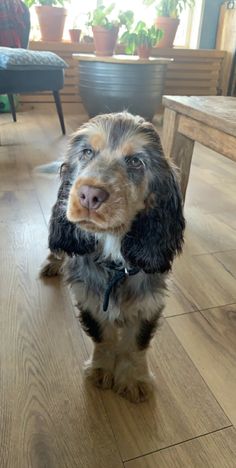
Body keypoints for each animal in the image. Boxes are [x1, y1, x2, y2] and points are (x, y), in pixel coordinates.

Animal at [40, 111, 184, 404]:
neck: (113, 248)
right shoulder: (89, 296)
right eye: (86, 152)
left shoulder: (149, 300)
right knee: (57, 248)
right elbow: (103, 336)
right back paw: (53, 263)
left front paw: (134, 379)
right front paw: (100, 370)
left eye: (136, 162)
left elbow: (135, 343)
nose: (89, 195)